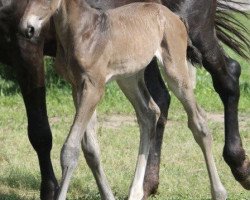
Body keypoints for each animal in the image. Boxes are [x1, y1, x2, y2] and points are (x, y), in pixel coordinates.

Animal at [0, 0, 249, 199]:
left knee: (202, 116)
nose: (27, 28)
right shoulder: (77, 87)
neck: (83, 29)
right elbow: (89, 147)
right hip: (131, 76)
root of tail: (172, 16)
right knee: (150, 112)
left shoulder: (93, 87)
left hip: (178, 65)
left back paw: (224, 186)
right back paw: (138, 190)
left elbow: (69, 147)